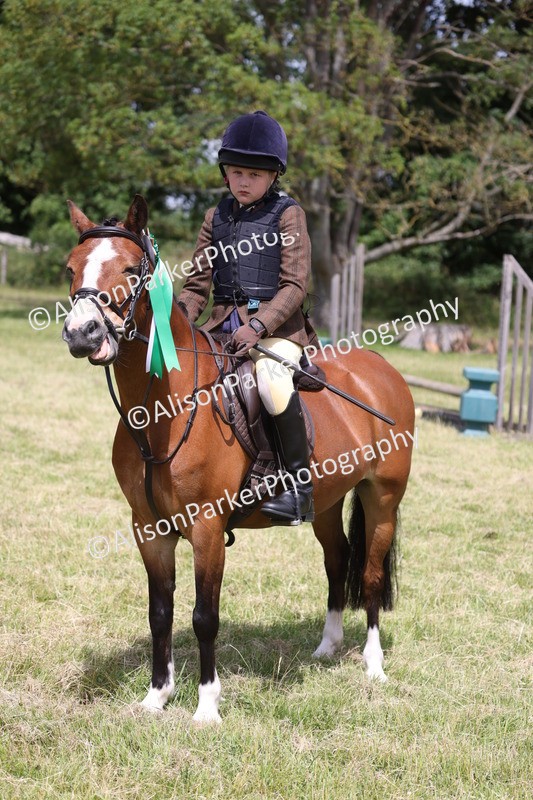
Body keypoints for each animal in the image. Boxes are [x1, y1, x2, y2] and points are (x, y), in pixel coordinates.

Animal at [62, 194, 415, 723]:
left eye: (128, 268)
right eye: (71, 268)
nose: (82, 334)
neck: (165, 409)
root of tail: (383, 370)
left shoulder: (207, 528)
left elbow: (204, 616)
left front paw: (207, 708)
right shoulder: (149, 528)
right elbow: (159, 612)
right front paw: (155, 696)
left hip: (383, 500)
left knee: (370, 575)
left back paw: (373, 667)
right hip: (327, 503)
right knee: (336, 562)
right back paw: (326, 648)